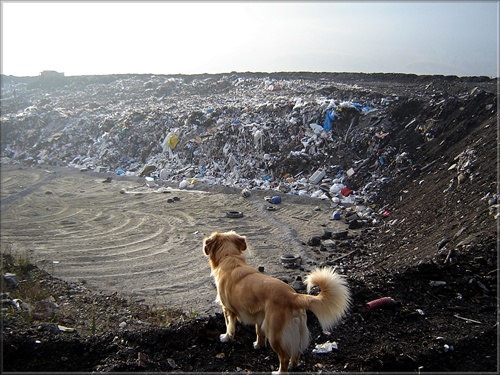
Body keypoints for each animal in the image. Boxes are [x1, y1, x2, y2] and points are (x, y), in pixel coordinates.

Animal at [203, 231, 352, 374]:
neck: (230, 256)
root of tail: (294, 296)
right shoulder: (259, 315)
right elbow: (259, 332)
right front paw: (258, 345)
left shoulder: (227, 309)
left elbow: (229, 326)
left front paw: (226, 338)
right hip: (295, 329)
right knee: (296, 352)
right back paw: (292, 366)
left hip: (275, 334)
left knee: (284, 357)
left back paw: (279, 371)